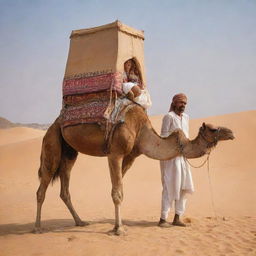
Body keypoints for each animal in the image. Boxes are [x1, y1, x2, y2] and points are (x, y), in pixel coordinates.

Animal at [34, 105, 234, 235]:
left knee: (65, 189)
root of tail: (53, 124)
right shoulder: (115, 153)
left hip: (69, 152)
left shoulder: (131, 156)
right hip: (52, 143)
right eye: (213, 129)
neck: (142, 131)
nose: (231, 133)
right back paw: (37, 227)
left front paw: (116, 225)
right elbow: (117, 193)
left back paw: (80, 221)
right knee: (42, 187)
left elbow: (117, 190)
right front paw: (119, 229)